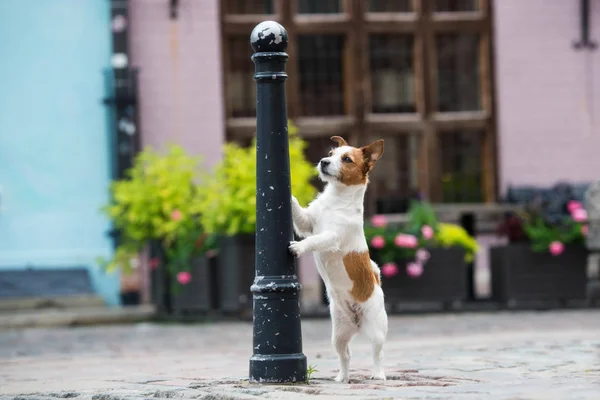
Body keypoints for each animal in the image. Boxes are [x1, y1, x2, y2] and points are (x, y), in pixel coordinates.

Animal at [290, 136, 390, 382]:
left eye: (346, 159)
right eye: (330, 153)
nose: (323, 162)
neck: (336, 200)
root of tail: (356, 321)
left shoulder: (331, 237)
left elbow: (314, 240)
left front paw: (299, 247)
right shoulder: (307, 222)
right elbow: (299, 212)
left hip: (376, 329)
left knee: (378, 353)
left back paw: (378, 375)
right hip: (339, 334)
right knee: (346, 355)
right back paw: (342, 378)